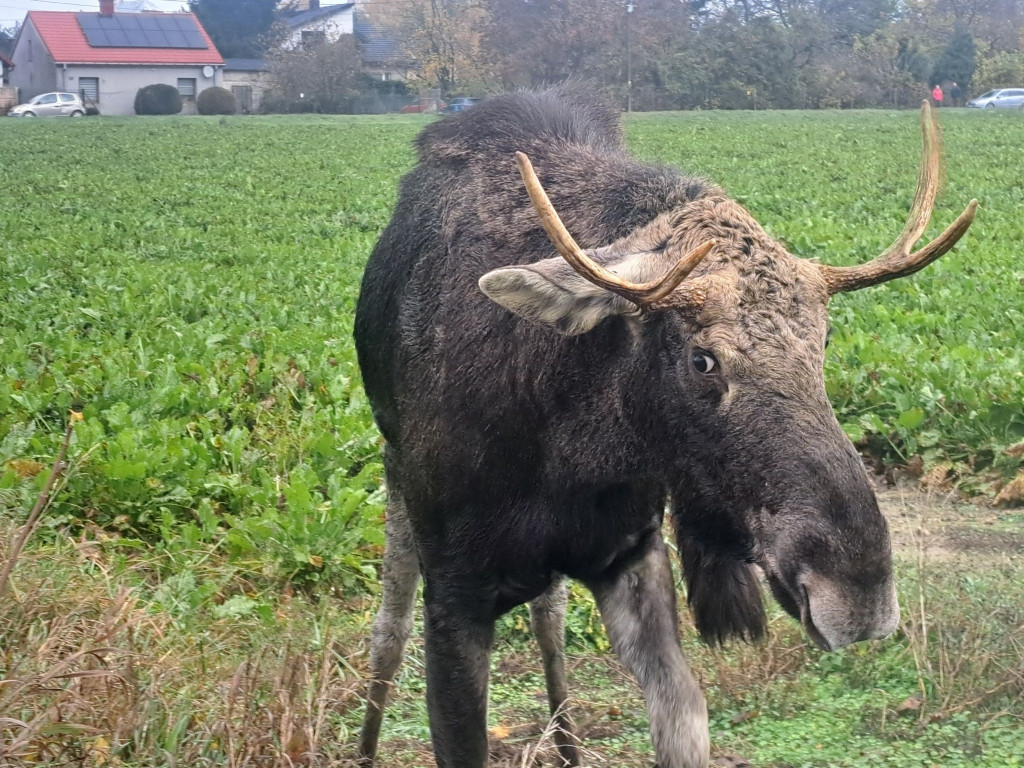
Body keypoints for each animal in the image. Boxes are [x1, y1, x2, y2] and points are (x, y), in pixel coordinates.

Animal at [354, 85, 974, 768]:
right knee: (389, 630)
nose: (858, 590)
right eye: (703, 359)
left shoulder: (630, 552)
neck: (566, 450)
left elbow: (683, 716)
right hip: (395, 478)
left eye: (826, 339)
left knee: (548, 623)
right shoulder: (455, 593)